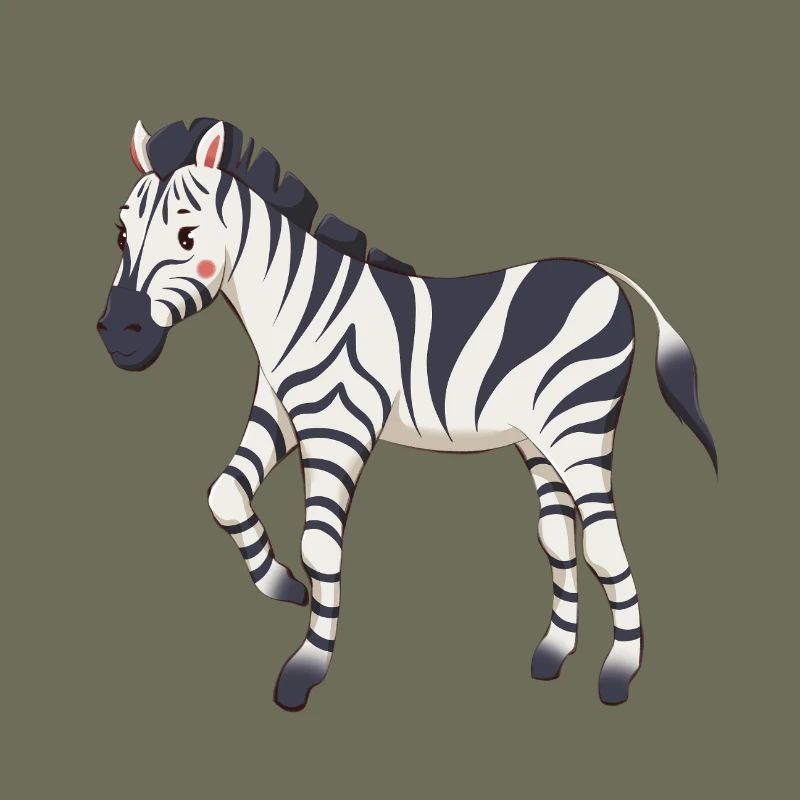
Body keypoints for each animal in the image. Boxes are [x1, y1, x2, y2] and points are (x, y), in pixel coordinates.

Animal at [97, 118, 717, 711]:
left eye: (187, 237)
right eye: (122, 233)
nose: (118, 334)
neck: (294, 306)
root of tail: (605, 274)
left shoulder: (337, 425)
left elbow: (318, 546)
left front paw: (306, 667)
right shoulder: (279, 410)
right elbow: (225, 493)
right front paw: (281, 584)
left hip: (578, 428)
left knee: (603, 544)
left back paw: (620, 672)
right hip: (538, 442)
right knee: (558, 535)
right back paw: (555, 652)